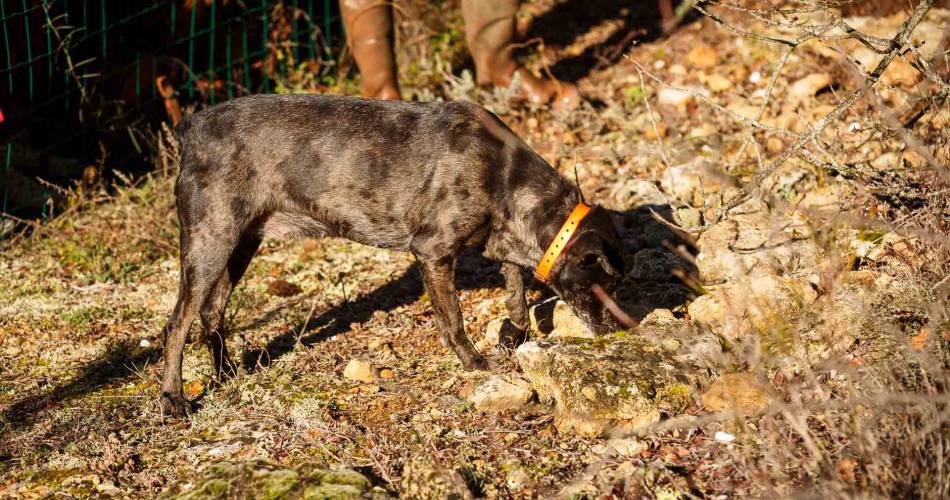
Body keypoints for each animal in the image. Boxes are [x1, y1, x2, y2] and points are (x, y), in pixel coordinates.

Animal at [160, 94, 628, 418]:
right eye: (607, 284)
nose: (622, 333)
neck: (503, 173)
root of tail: (193, 127)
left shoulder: (504, 242)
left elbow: (516, 291)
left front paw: (514, 333)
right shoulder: (434, 252)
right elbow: (454, 321)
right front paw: (476, 362)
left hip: (240, 244)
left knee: (211, 312)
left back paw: (227, 373)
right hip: (210, 242)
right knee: (177, 324)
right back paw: (174, 399)